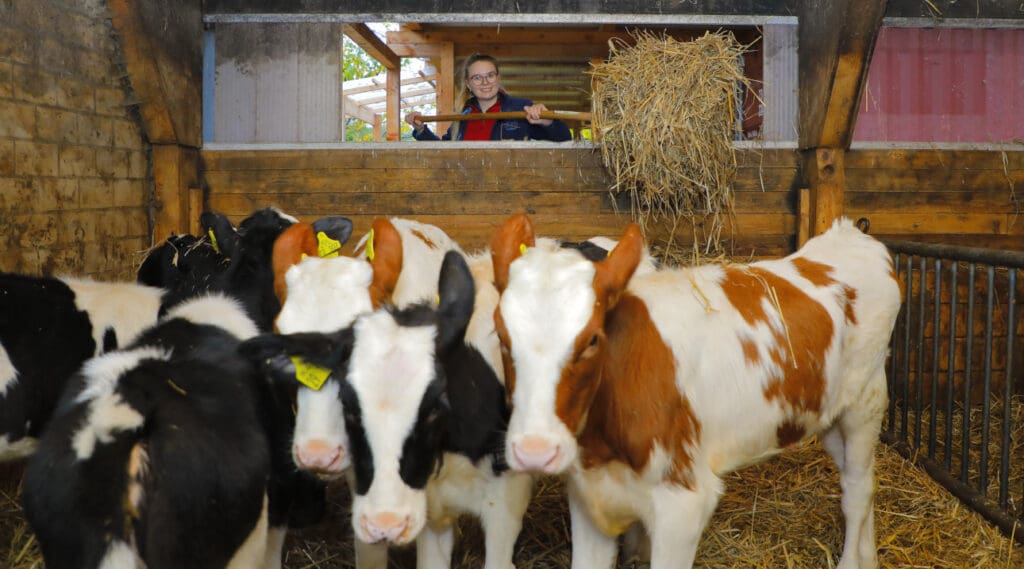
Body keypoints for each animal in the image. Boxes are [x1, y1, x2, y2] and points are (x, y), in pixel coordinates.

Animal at [491, 214, 901, 569]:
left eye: (593, 339)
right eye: (501, 334)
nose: (535, 450)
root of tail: (851, 234)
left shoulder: (683, 504)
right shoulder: (589, 498)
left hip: (866, 401)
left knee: (856, 489)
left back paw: (852, 562)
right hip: (827, 415)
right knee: (862, 479)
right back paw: (870, 556)